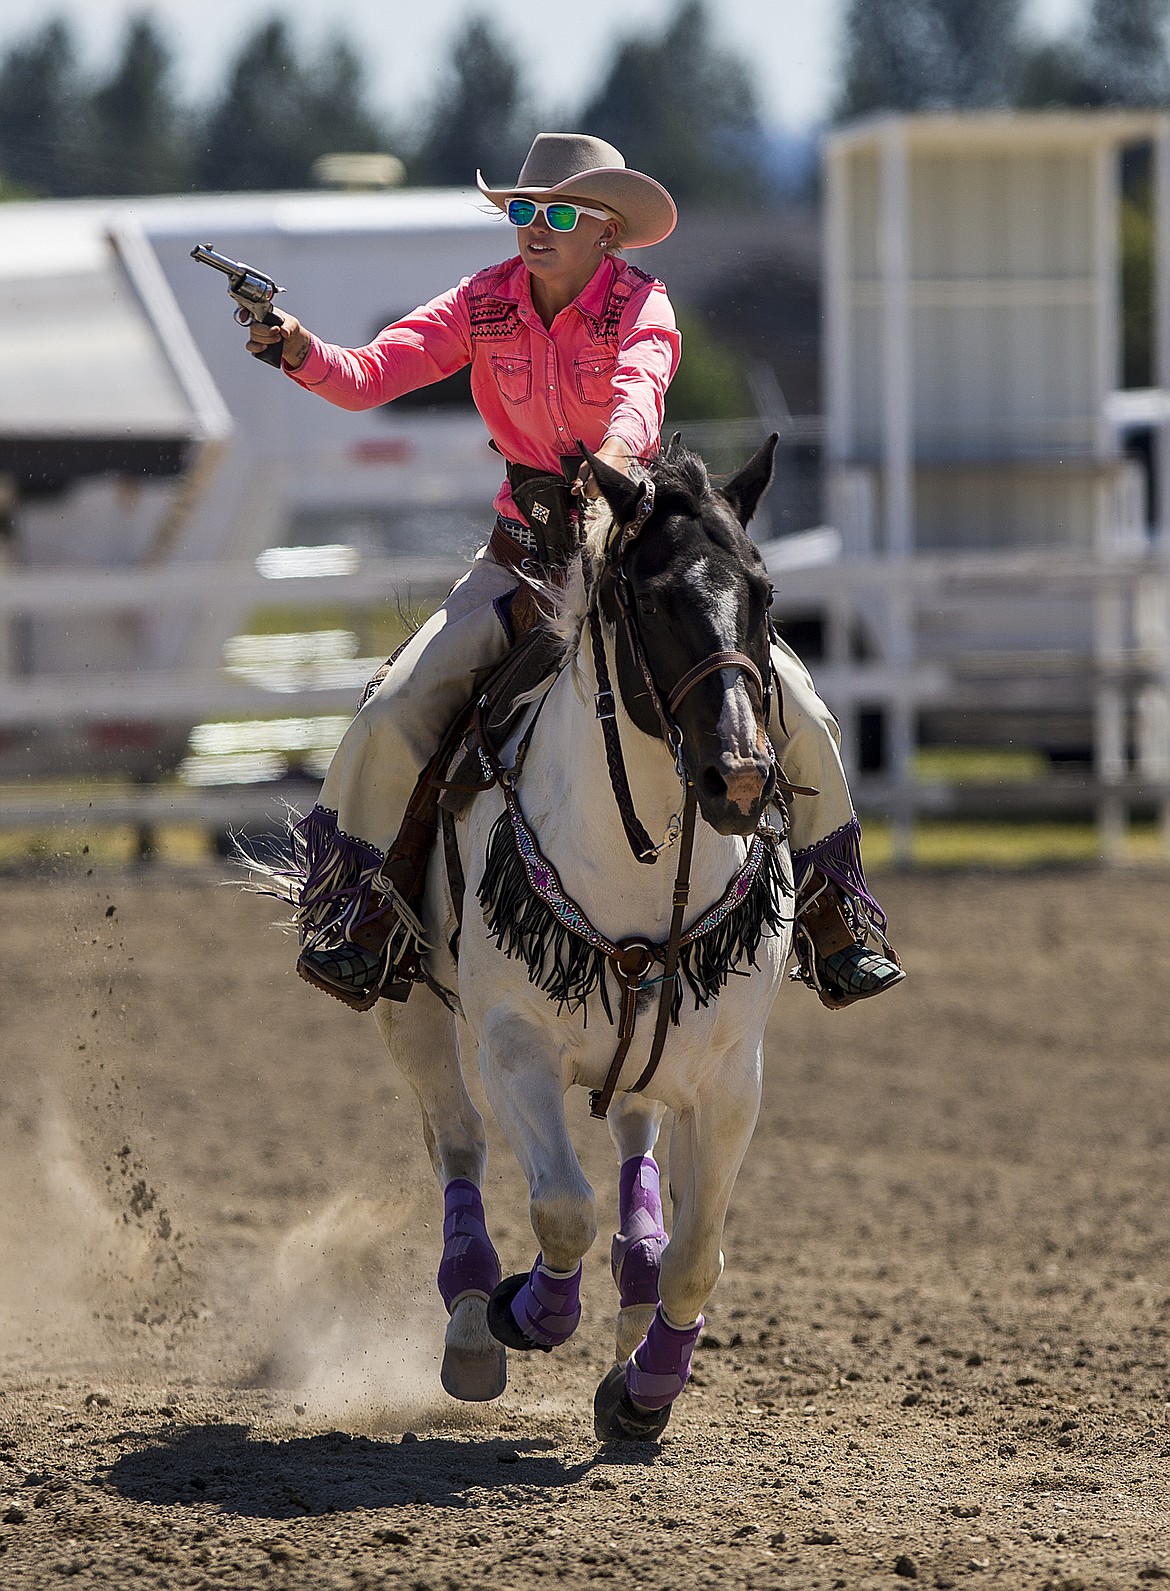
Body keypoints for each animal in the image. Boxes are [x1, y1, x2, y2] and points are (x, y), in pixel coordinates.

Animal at [372, 435, 795, 1444]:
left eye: (763, 591)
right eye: (653, 599)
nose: (740, 777)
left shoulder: (732, 1076)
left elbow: (698, 1255)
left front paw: (645, 1390)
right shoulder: (514, 1047)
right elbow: (560, 1206)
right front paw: (527, 1312)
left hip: (653, 1043)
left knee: (636, 1140)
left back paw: (633, 1301)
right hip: (411, 1010)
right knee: (457, 1142)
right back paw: (472, 1322)